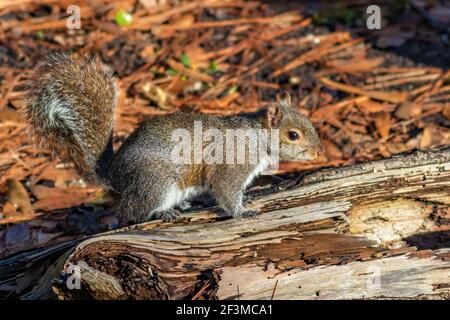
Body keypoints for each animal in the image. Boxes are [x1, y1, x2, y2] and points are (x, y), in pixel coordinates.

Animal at [22, 52, 324, 222]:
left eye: (310, 122)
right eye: (293, 135)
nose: (320, 152)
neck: (257, 136)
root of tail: (113, 176)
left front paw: (247, 200)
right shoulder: (231, 165)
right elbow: (226, 191)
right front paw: (241, 212)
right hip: (156, 181)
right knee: (129, 212)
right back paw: (162, 212)